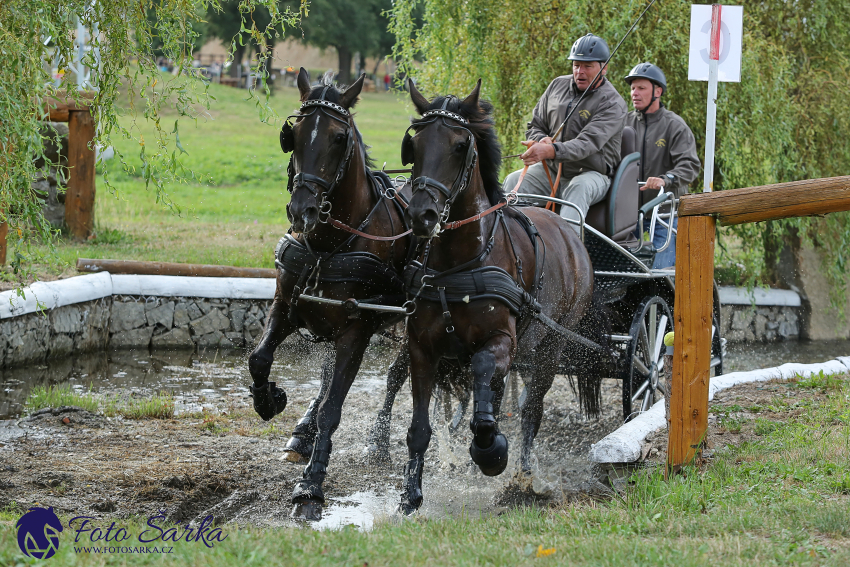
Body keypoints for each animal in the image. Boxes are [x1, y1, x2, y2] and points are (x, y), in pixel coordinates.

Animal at [245, 69, 410, 520]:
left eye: (339, 138)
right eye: (294, 133)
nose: (302, 210)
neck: (328, 246)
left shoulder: (356, 331)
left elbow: (334, 408)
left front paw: (311, 486)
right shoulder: (286, 306)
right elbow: (259, 359)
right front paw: (270, 400)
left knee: (396, 376)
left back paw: (379, 441)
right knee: (326, 376)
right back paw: (302, 432)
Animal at [396, 82, 604, 516]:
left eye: (460, 145)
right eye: (415, 142)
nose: (421, 215)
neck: (460, 262)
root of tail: (565, 225)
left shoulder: (501, 341)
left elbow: (483, 378)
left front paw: (491, 451)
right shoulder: (422, 348)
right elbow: (420, 426)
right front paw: (410, 495)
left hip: (552, 345)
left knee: (531, 411)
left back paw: (523, 476)